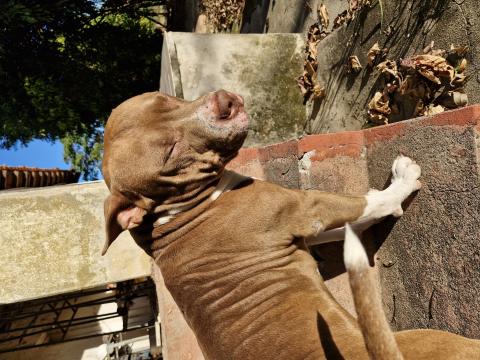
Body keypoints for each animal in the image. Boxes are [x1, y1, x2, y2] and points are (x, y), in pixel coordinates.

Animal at [100, 89, 476, 358]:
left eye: (165, 99)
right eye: (170, 151)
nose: (224, 103)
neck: (175, 213)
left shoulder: (303, 224)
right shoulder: (308, 207)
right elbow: (371, 203)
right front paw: (401, 181)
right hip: (431, 337)